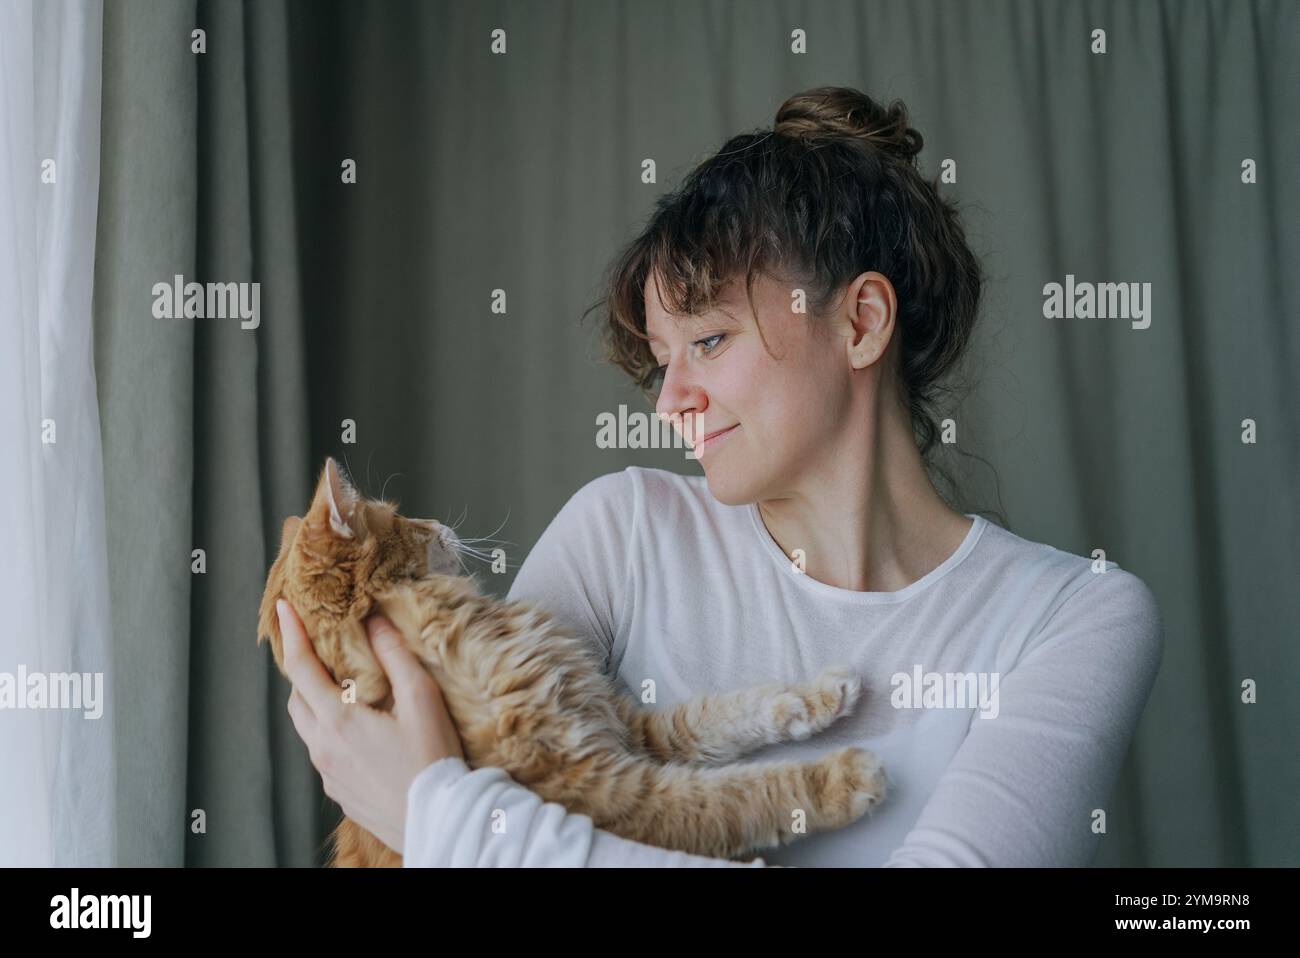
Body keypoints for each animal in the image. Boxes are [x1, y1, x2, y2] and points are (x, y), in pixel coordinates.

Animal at [261, 454, 894, 868]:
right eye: (404, 519)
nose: (441, 525)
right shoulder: (605, 791)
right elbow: (739, 793)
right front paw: (844, 777)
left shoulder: (623, 726)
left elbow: (728, 712)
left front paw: (819, 695)